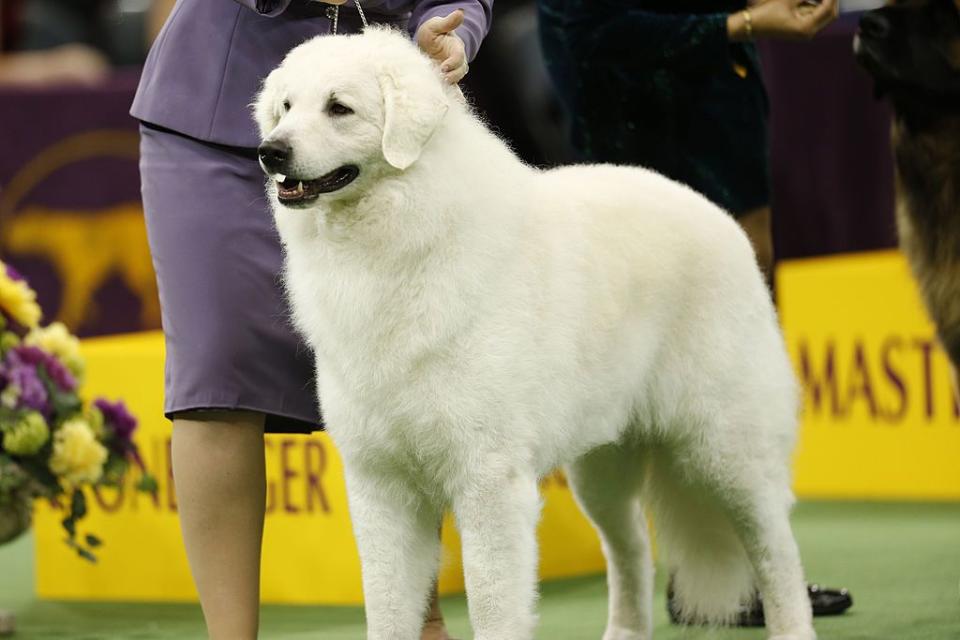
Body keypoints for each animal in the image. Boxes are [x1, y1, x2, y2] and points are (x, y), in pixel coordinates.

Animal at [253, 26, 808, 640]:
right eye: (286, 108)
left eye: (339, 108)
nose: (270, 151)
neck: (399, 238)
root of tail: (718, 216)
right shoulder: (381, 484)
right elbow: (388, 608)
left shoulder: (489, 481)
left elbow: (493, 604)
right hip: (603, 466)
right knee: (632, 550)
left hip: (726, 447)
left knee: (776, 549)